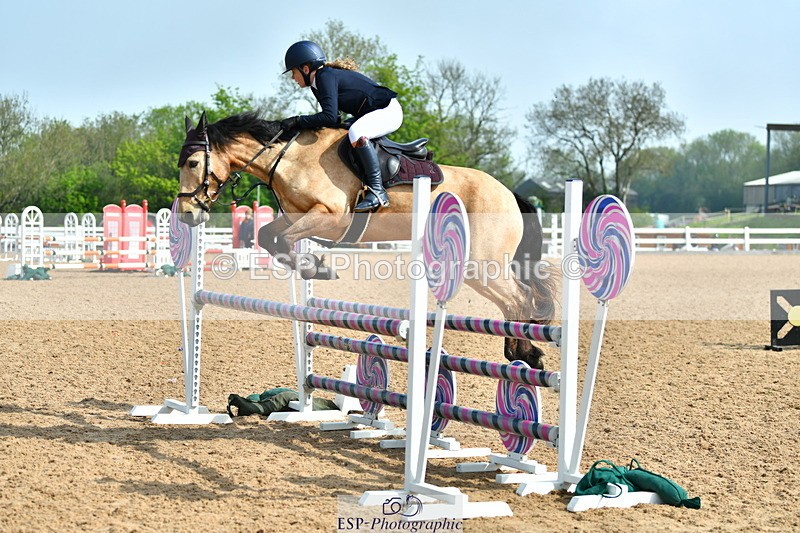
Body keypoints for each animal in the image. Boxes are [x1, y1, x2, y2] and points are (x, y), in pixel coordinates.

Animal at [176, 111, 557, 369]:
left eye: (193, 162)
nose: (187, 214)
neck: (290, 160)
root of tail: (508, 194)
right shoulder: (299, 215)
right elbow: (270, 236)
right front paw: (315, 267)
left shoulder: (331, 217)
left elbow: (281, 240)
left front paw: (316, 267)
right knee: (517, 300)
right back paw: (523, 353)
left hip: (481, 264)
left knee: (519, 299)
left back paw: (525, 353)